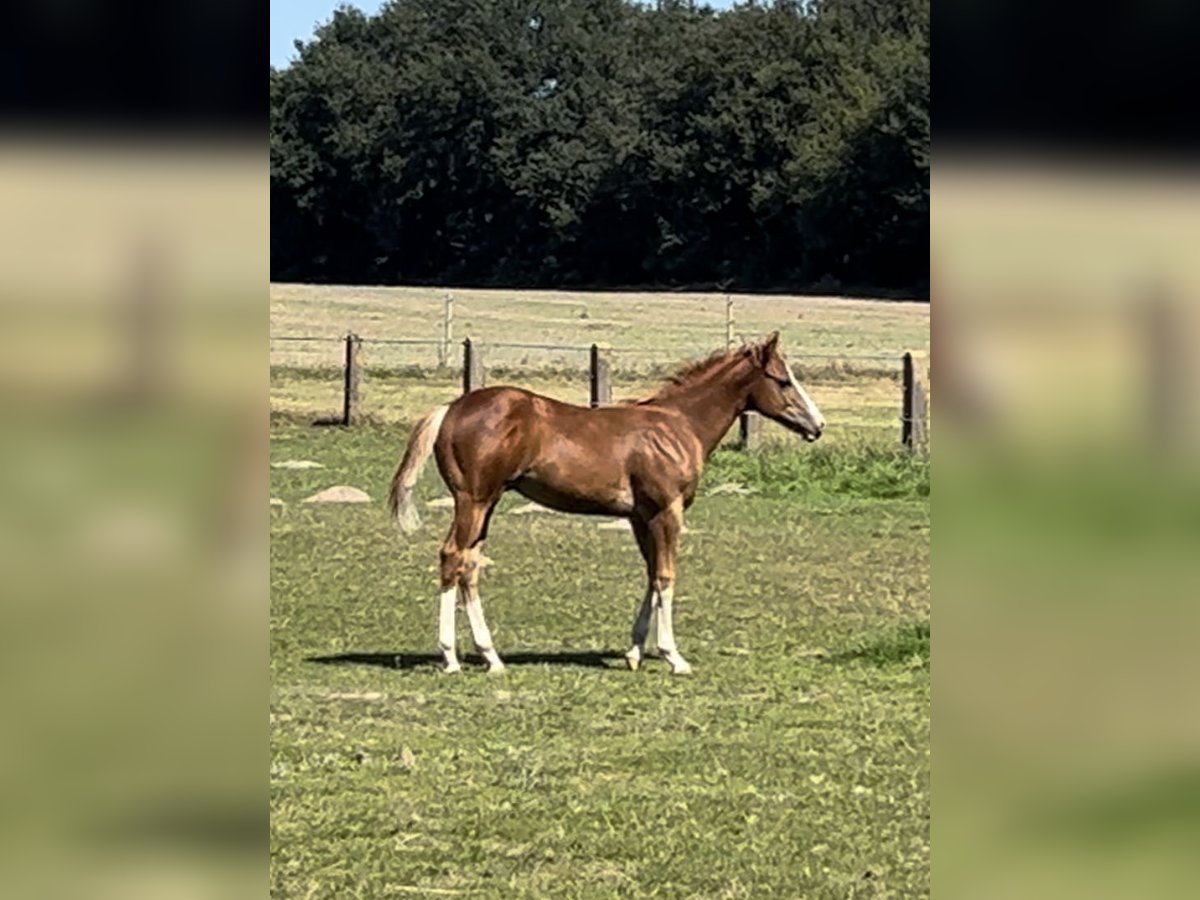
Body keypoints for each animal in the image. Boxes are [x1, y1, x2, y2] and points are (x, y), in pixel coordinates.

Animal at [388, 336, 820, 672]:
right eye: (784, 381)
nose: (818, 425)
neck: (678, 425)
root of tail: (450, 408)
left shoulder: (641, 517)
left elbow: (651, 574)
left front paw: (634, 653)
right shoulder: (667, 511)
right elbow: (666, 576)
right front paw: (674, 656)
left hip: (488, 504)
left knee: (469, 564)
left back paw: (491, 657)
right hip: (472, 500)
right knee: (451, 556)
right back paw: (450, 657)